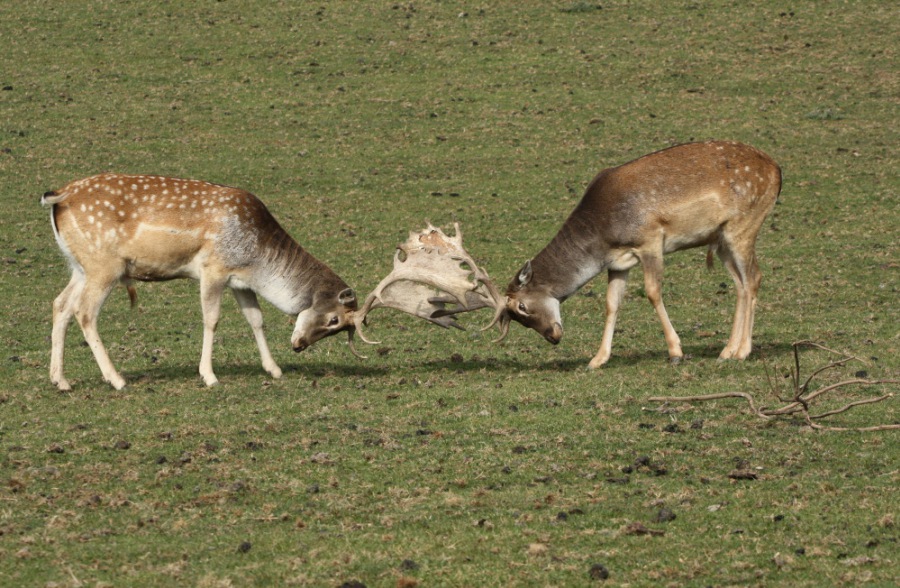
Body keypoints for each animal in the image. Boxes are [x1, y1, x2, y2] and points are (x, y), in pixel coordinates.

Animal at [43, 173, 360, 390]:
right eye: (334, 320)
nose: (299, 345)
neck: (258, 260)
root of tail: (58, 195)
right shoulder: (213, 269)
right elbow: (212, 319)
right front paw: (209, 375)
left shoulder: (240, 281)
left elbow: (256, 319)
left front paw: (274, 369)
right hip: (105, 265)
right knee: (84, 311)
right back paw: (117, 379)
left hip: (80, 266)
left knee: (61, 304)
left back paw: (61, 380)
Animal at [486, 140, 782, 368]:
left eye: (522, 307)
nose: (552, 336)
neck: (604, 232)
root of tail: (777, 170)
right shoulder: (618, 262)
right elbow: (611, 302)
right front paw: (597, 359)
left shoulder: (650, 239)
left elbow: (652, 292)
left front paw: (675, 352)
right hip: (721, 239)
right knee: (740, 284)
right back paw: (727, 351)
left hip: (743, 226)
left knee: (754, 278)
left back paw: (742, 352)